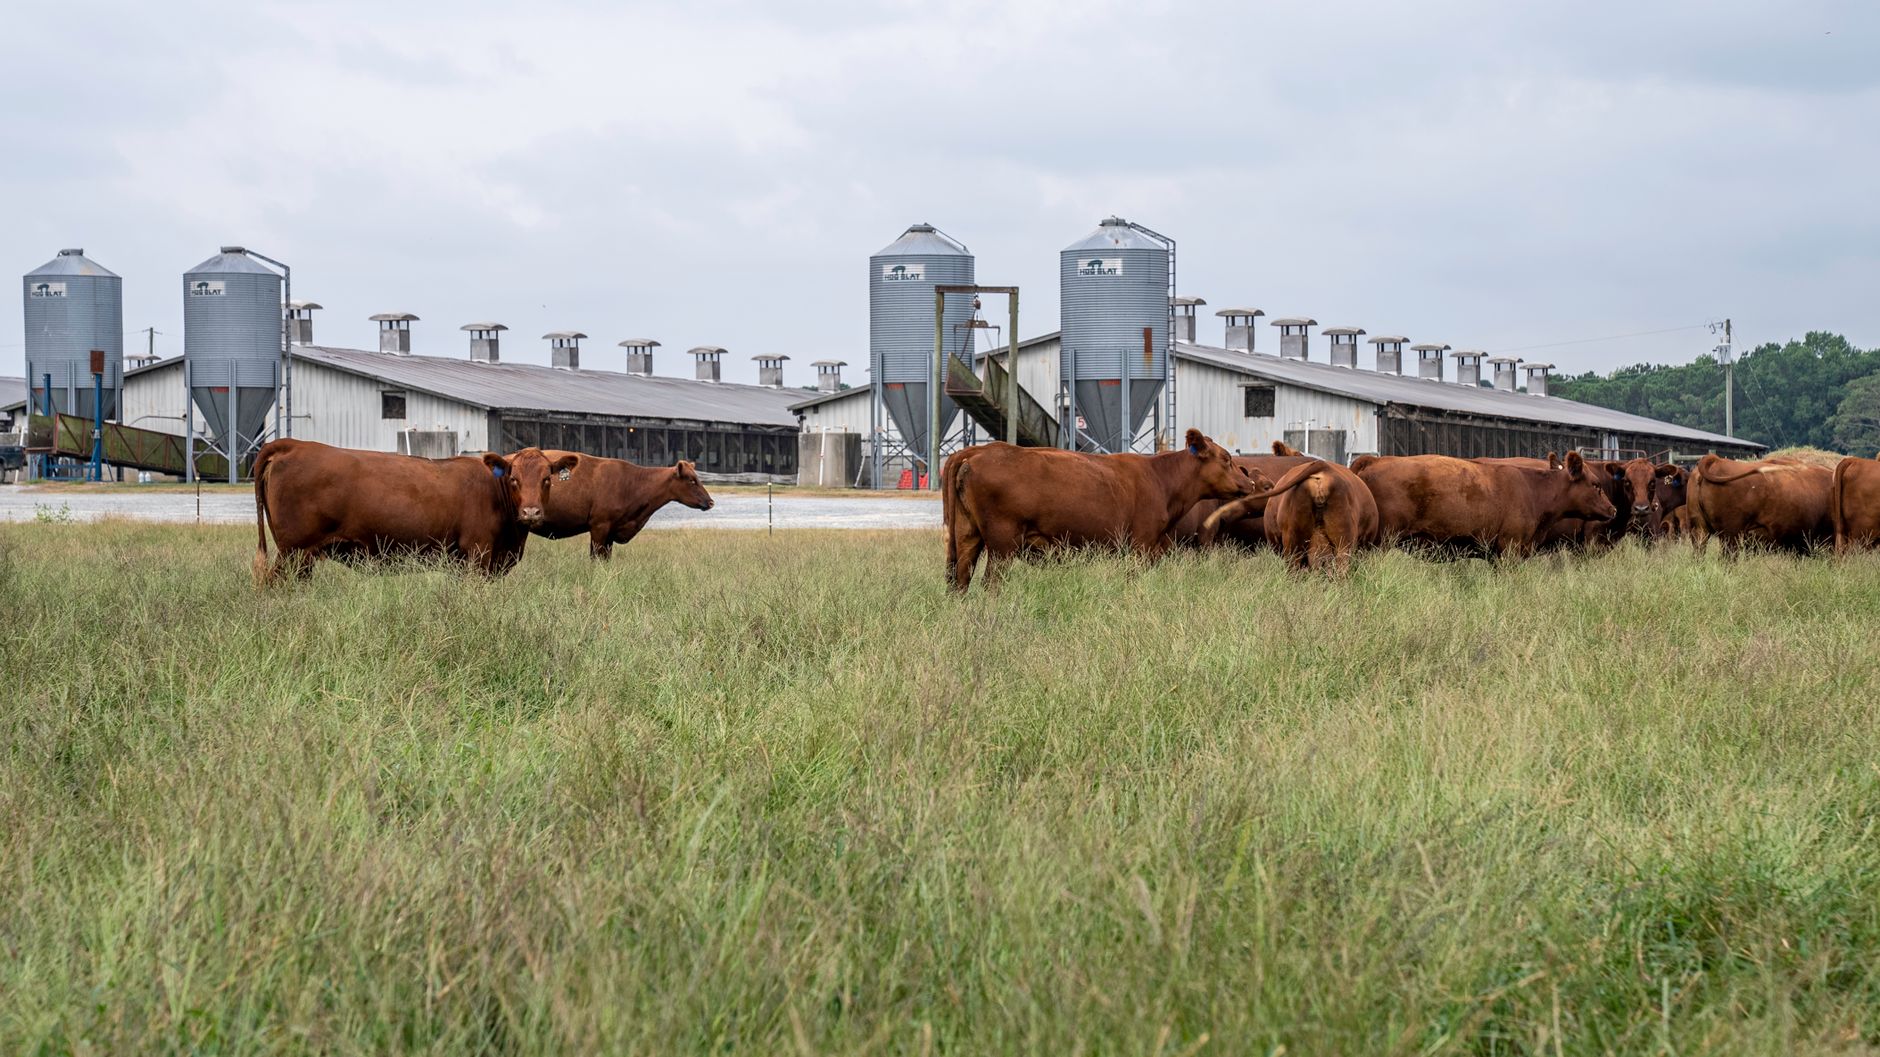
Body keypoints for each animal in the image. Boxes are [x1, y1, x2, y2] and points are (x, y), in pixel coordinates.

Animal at [252, 439, 576, 584]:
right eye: (513, 479)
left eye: (547, 479)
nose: (531, 512)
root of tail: (293, 444)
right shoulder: (477, 555)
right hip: (293, 551)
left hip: (302, 556)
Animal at [944, 429, 1260, 591]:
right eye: (1226, 458)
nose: (1250, 482)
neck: (1160, 478)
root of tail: (976, 451)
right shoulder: (1140, 547)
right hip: (1002, 544)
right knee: (990, 584)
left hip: (967, 535)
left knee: (960, 579)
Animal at [1352, 451, 1618, 559]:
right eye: (1596, 485)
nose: (1613, 509)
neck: (1533, 490)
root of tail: (1375, 459)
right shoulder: (1509, 549)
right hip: (1378, 542)